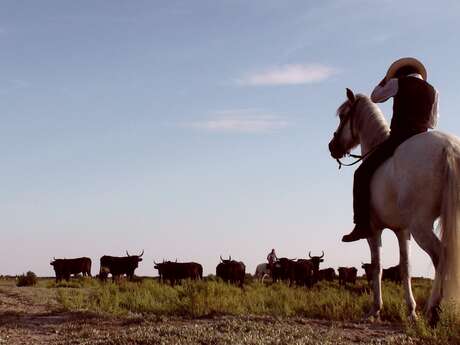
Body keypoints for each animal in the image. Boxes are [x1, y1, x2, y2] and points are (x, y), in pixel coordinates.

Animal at [328, 88, 460, 320]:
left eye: (343, 116)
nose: (332, 147)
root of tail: (449, 148)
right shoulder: (402, 231)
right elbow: (405, 267)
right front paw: (411, 310)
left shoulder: (373, 230)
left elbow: (377, 267)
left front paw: (375, 309)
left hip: (421, 226)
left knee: (441, 256)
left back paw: (434, 308)